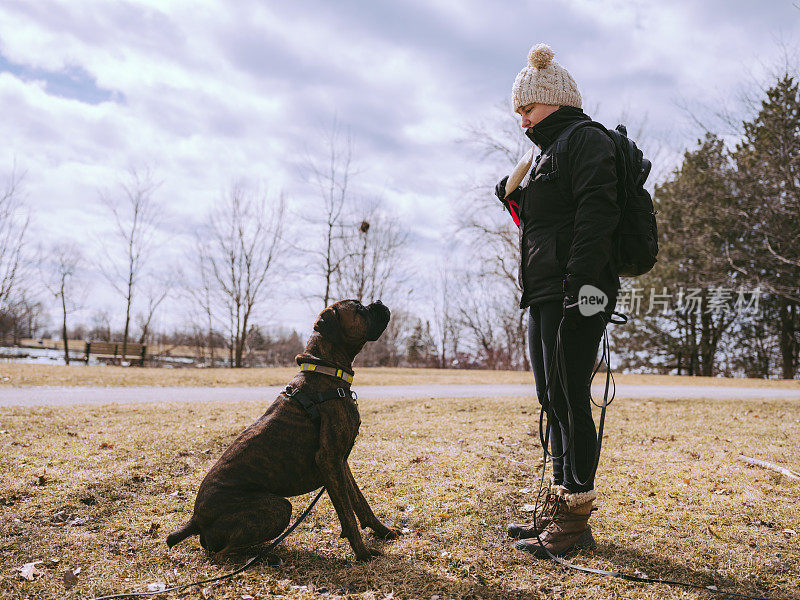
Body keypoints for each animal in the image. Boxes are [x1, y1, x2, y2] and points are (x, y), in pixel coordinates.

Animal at [166, 300, 400, 564]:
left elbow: (360, 503)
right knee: (222, 555)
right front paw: (362, 553)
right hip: (279, 508)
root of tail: (196, 519)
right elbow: (347, 514)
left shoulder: (341, 462)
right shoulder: (329, 459)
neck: (325, 371)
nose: (379, 303)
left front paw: (383, 532)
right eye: (359, 309)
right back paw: (263, 557)